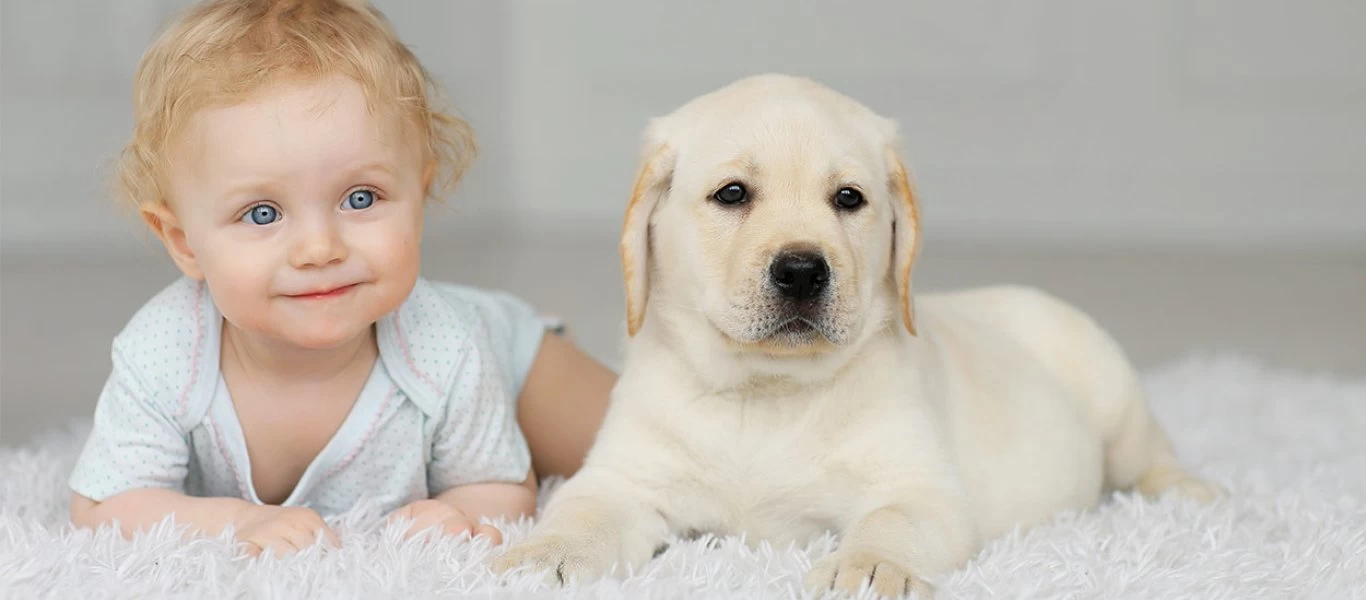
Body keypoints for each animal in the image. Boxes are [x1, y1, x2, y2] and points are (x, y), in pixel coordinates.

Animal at [489, 74, 1218, 595]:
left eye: (849, 198)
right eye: (732, 194)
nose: (802, 270)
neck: (766, 390)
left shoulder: (922, 488)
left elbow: (890, 520)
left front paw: (867, 568)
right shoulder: (623, 477)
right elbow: (581, 512)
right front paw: (542, 554)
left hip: (1114, 396)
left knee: (1151, 455)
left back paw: (1195, 496)